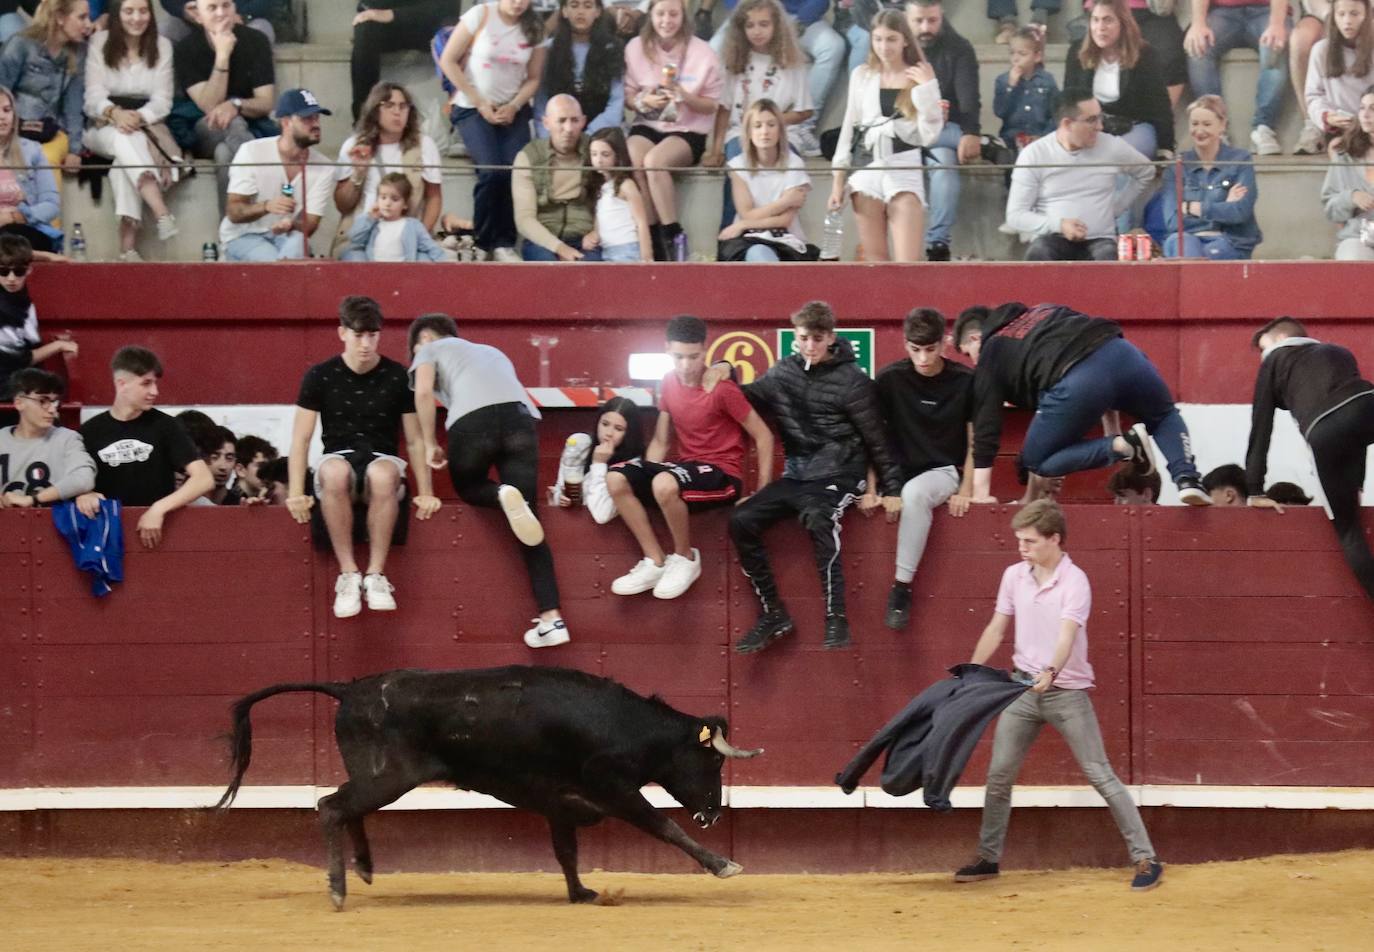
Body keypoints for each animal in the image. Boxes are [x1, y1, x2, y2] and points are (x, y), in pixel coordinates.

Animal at [219, 664, 769, 912]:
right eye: (711, 759)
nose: (714, 813)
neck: (625, 725)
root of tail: (349, 688)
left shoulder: (560, 806)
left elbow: (567, 852)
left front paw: (582, 893)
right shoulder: (614, 790)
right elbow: (663, 826)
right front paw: (723, 864)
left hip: (377, 777)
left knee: (346, 806)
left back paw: (366, 868)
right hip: (388, 777)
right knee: (332, 805)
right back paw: (338, 889)